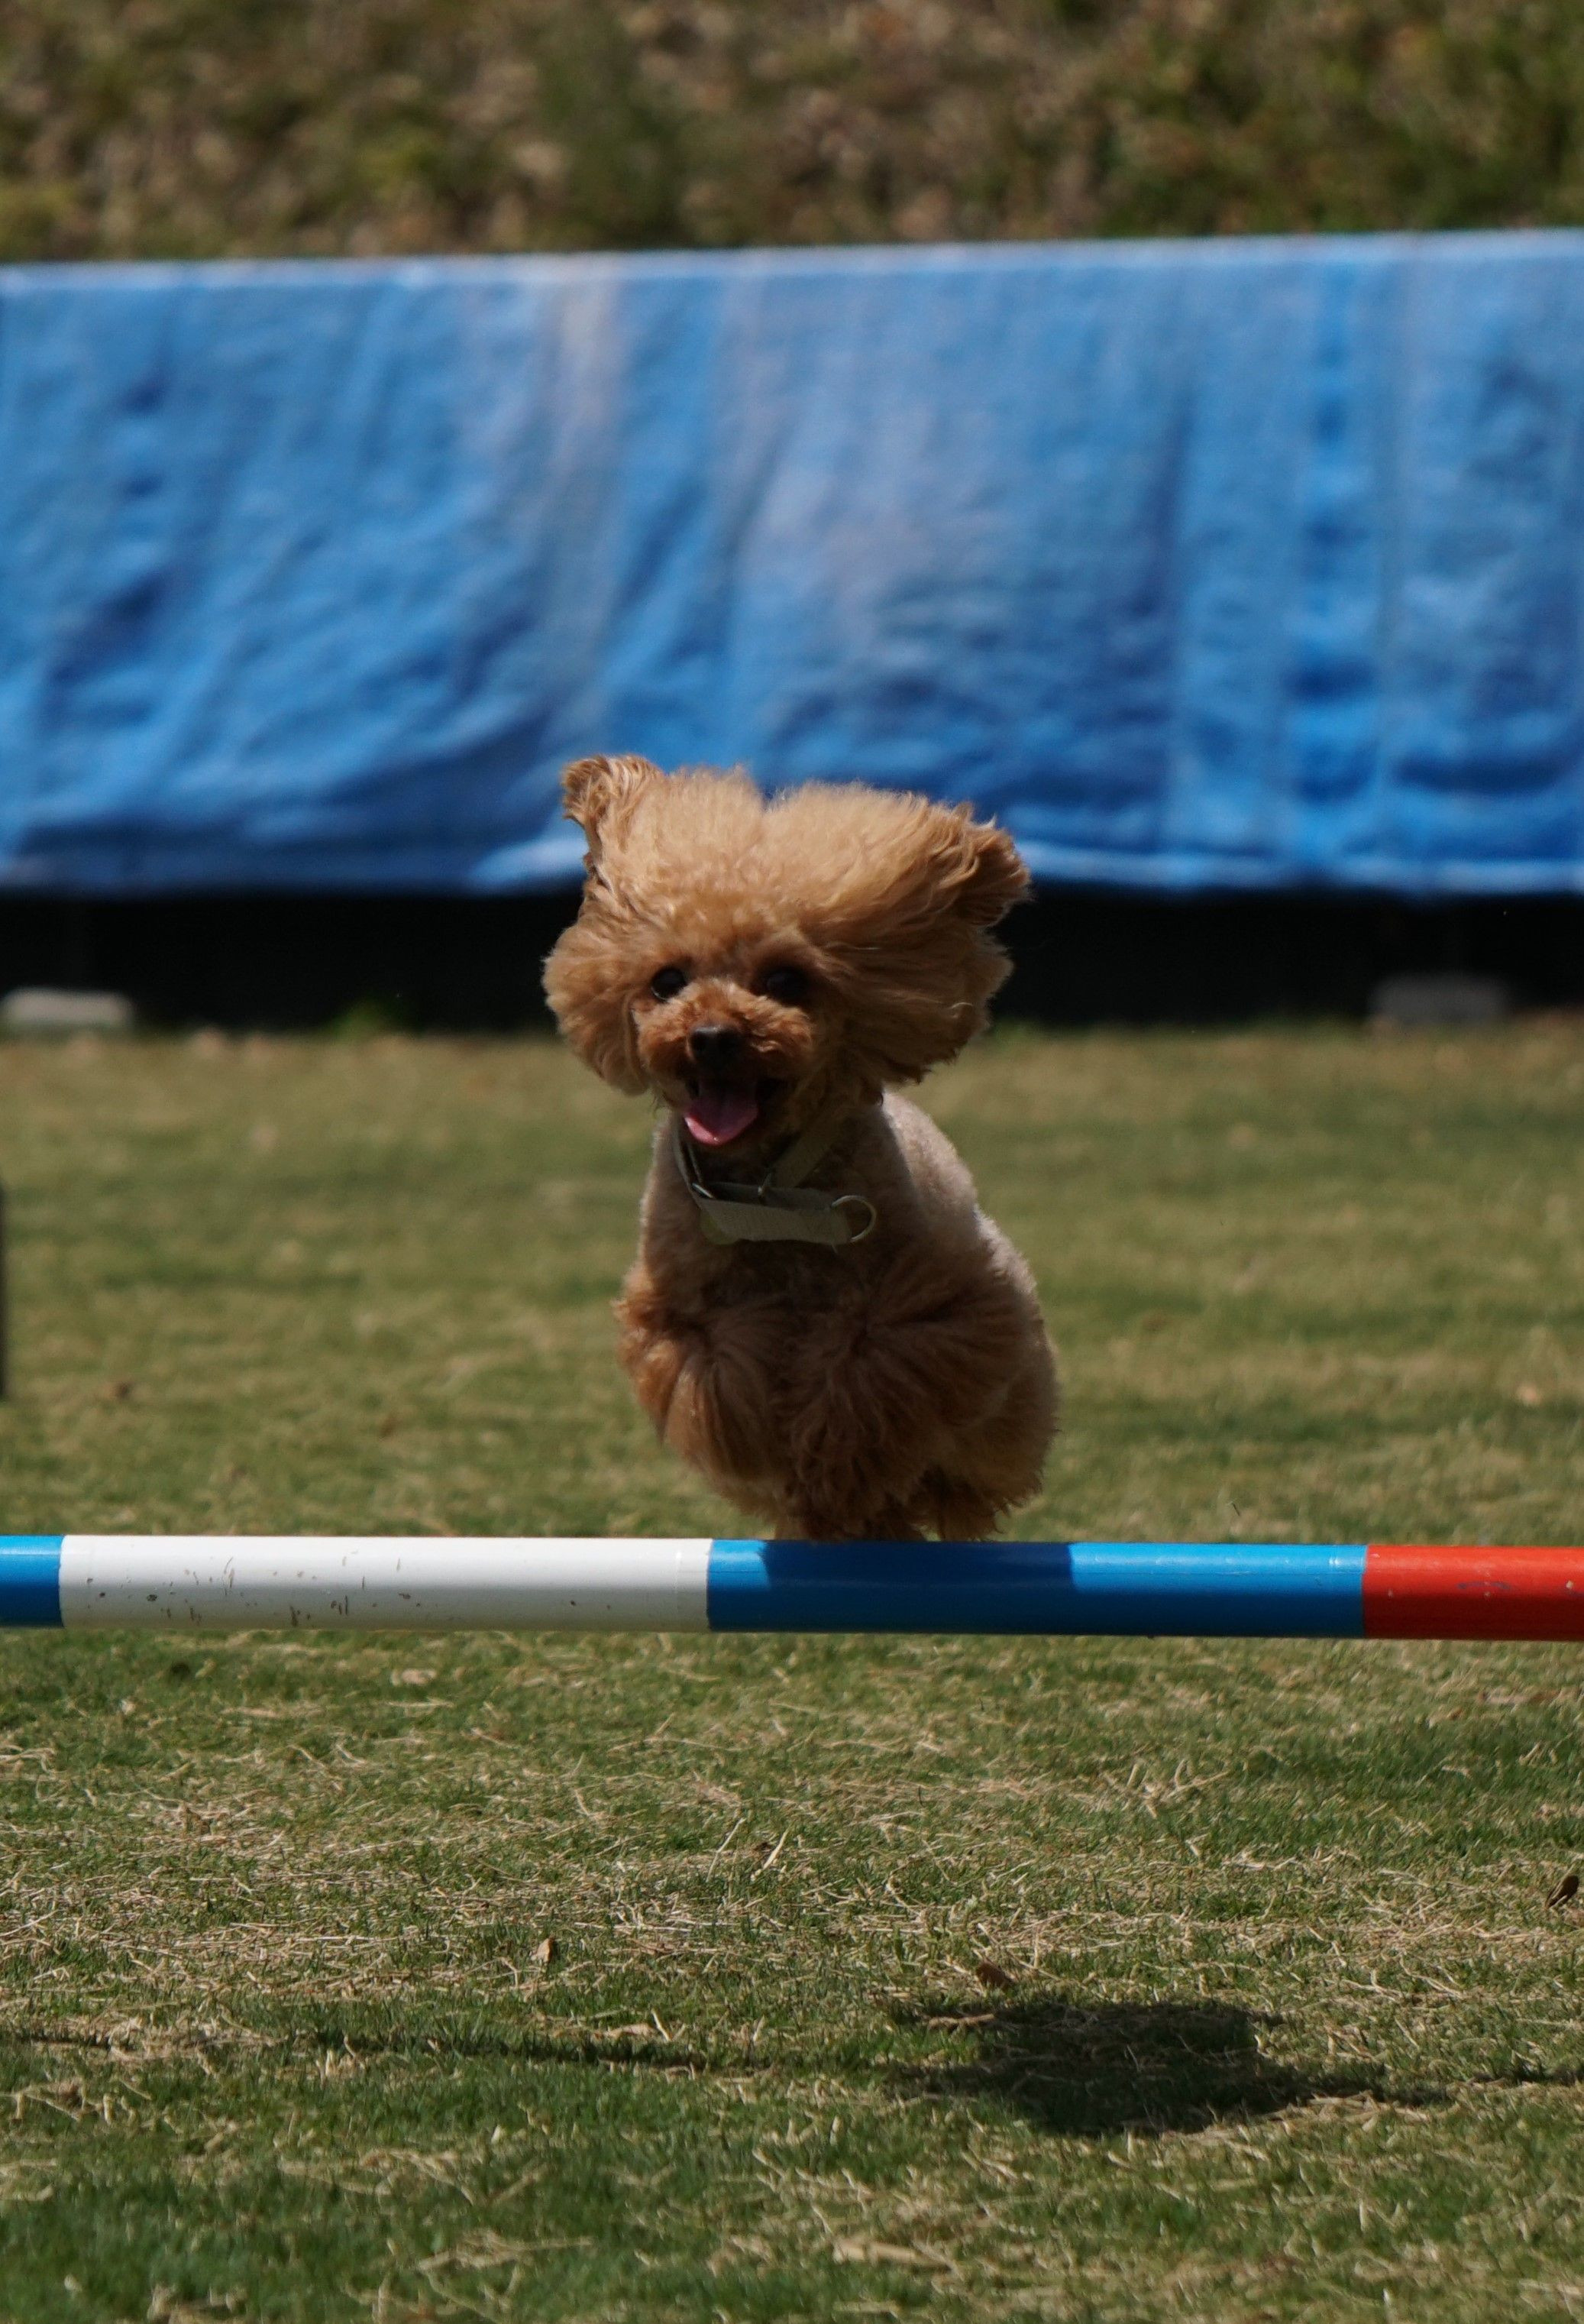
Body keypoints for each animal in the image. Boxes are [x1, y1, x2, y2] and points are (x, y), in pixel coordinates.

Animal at [544, 756, 1058, 1541]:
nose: (712, 1036)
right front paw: (792, 1455)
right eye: (667, 980)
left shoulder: (935, 1311)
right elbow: (730, 1378)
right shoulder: (681, 1320)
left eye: (785, 979)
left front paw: (838, 1468)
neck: (767, 1190)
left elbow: (862, 1378)